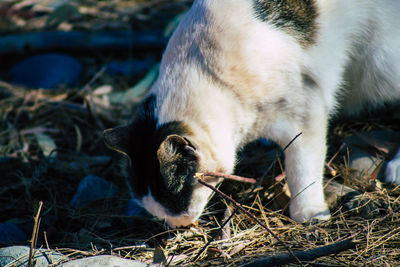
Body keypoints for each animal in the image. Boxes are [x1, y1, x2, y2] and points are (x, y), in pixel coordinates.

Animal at [102, 0, 400, 229]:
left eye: (177, 199)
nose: (177, 225)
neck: (207, 71)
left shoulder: (306, 110)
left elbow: (303, 167)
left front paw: (310, 212)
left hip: (381, 67)